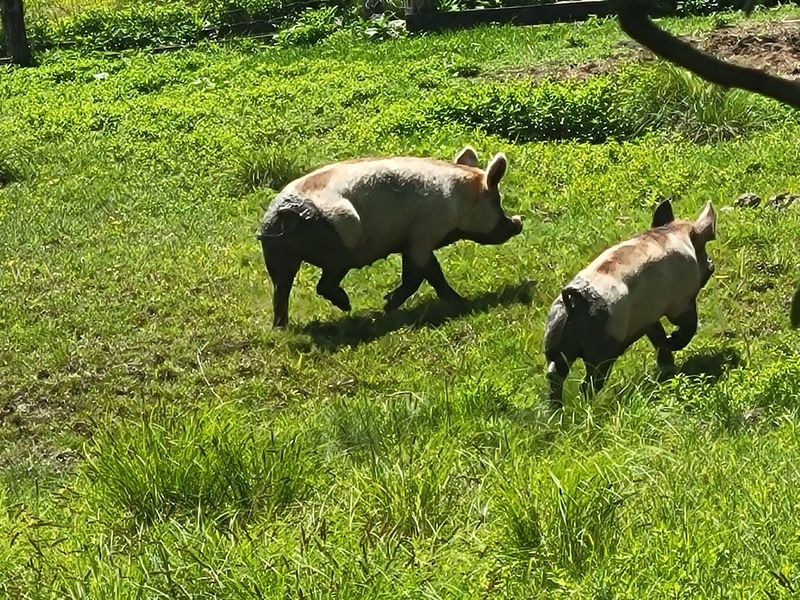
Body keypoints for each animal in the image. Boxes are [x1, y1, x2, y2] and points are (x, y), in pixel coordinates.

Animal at [257, 146, 523, 327]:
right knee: (323, 284)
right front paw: (388, 305)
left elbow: (428, 273)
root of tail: (285, 213)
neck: (459, 200)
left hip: (277, 254)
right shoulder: (423, 234)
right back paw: (347, 306)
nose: (518, 223)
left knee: (281, 289)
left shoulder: (412, 240)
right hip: (341, 243)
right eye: (497, 201)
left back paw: (280, 327)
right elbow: (421, 274)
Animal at [543, 199, 717, 407]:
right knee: (588, 383)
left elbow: (658, 337)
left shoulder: (648, 317)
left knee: (554, 374)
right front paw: (673, 339)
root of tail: (574, 302)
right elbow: (688, 327)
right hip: (602, 352)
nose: (712, 264)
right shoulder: (681, 301)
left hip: (555, 338)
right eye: (704, 248)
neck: (677, 233)